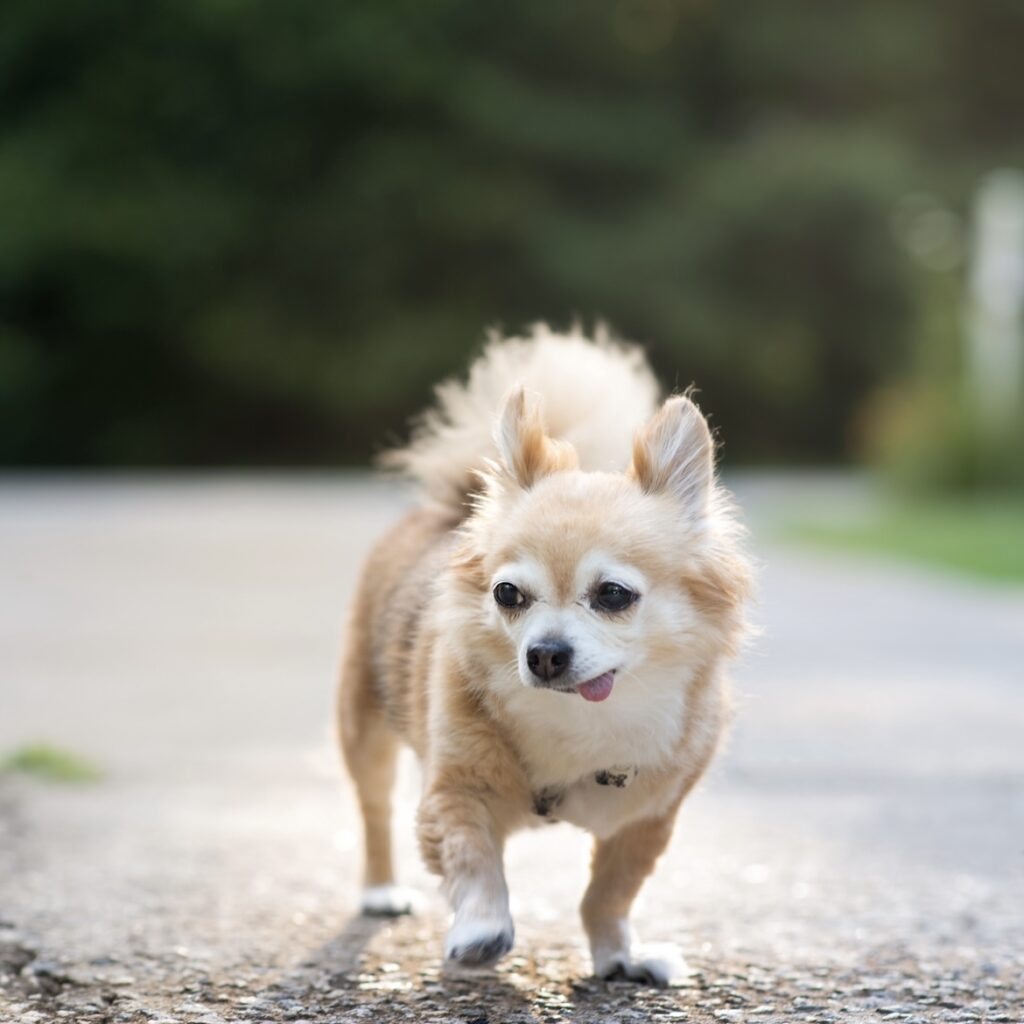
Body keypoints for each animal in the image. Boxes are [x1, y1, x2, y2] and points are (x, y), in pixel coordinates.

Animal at [339, 327, 749, 983]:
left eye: (613, 594)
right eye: (508, 594)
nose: (545, 654)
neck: (580, 722)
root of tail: (453, 506)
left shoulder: (646, 821)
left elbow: (609, 893)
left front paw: (619, 956)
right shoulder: (455, 790)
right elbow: (473, 857)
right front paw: (482, 927)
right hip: (365, 723)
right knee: (374, 808)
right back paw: (380, 890)